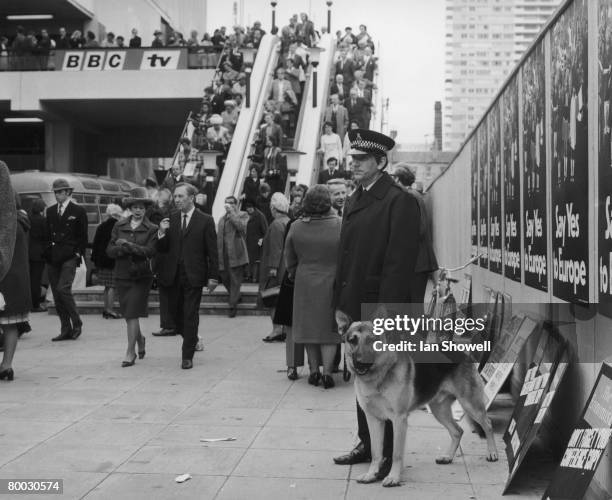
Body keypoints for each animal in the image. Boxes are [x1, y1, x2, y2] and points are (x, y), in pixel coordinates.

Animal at [334, 310, 498, 486]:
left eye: (372, 340)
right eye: (352, 340)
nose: (360, 362)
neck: (379, 376)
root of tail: (460, 349)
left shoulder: (399, 420)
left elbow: (396, 453)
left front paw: (393, 477)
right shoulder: (374, 420)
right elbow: (376, 451)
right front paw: (371, 474)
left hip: (470, 405)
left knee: (488, 424)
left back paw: (492, 453)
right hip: (439, 410)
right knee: (457, 431)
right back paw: (448, 457)